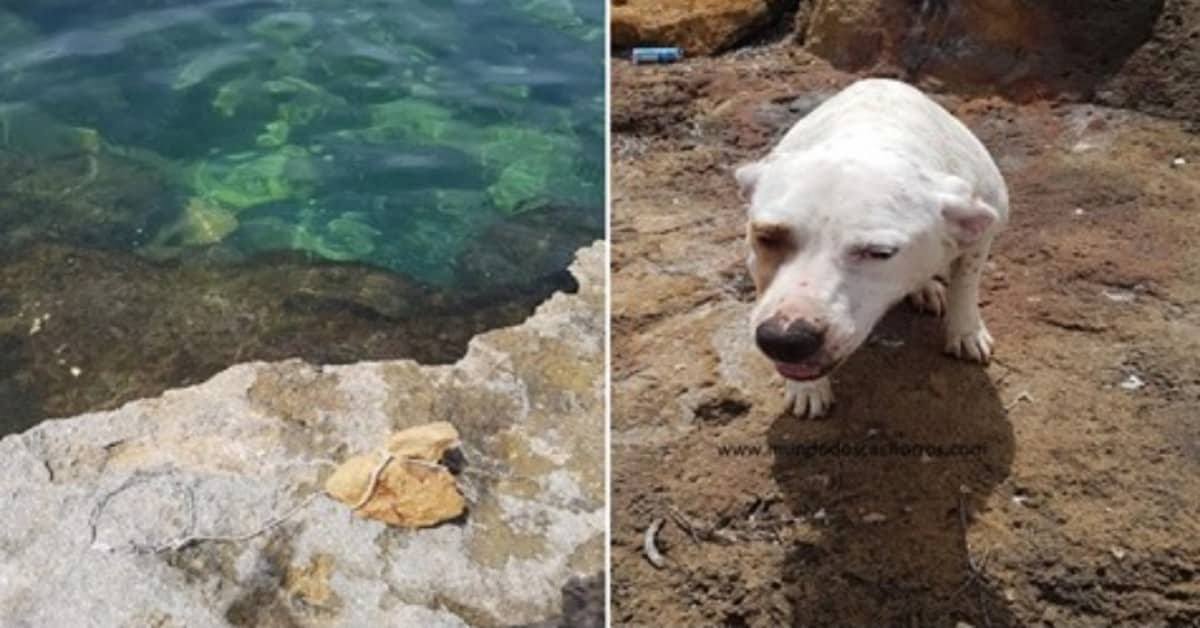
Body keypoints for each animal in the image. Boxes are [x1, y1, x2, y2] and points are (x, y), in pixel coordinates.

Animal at [734, 79, 1008, 422]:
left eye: (880, 253)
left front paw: (966, 331)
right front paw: (807, 388)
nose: (785, 340)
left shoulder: (985, 227)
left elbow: (966, 285)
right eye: (766, 237)